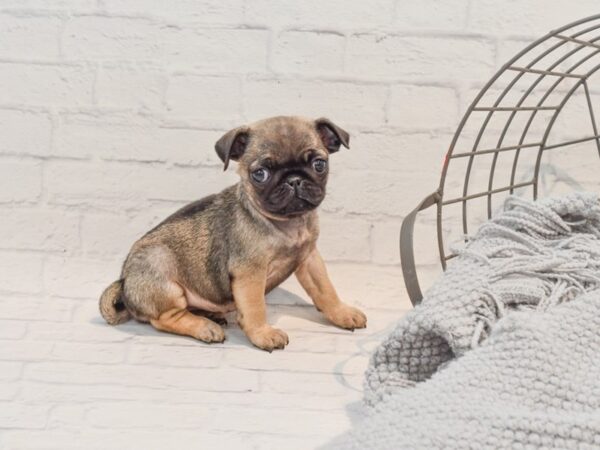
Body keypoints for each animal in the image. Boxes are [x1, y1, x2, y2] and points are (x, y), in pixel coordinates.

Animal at [99, 116, 366, 352]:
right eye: (260, 174)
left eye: (319, 164)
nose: (294, 180)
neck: (287, 224)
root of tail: (124, 281)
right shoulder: (250, 273)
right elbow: (255, 307)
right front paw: (263, 334)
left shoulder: (309, 259)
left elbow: (325, 290)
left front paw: (341, 313)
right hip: (161, 269)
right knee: (165, 318)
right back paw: (205, 327)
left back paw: (210, 314)